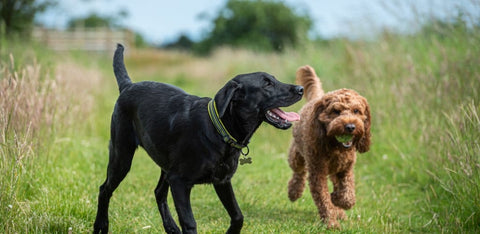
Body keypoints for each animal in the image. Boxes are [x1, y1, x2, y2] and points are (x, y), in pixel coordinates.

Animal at [93, 44, 302, 234]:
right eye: (267, 84)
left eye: (274, 79)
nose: (300, 88)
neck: (219, 129)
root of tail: (128, 86)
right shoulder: (179, 182)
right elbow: (190, 222)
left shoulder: (222, 181)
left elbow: (238, 216)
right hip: (122, 155)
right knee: (105, 189)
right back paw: (101, 225)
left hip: (164, 165)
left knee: (158, 192)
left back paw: (171, 228)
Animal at [288, 64, 372, 229]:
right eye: (336, 111)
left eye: (356, 111)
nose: (350, 127)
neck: (335, 147)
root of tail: (316, 98)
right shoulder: (317, 173)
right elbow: (323, 199)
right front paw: (331, 222)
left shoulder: (346, 170)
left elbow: (348, 197)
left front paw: (337, 202)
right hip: (296, 155)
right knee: (299, 172)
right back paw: (294, 191)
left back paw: (340, 212)